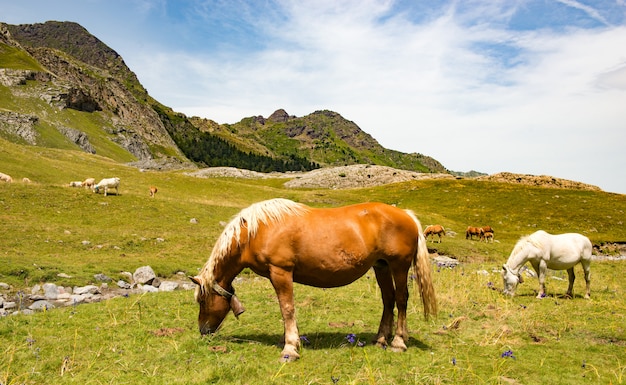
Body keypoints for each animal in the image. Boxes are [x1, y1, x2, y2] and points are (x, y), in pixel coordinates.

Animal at [188, 198, 436, 360]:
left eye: (201, 300)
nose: (203, 331)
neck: (255, 232)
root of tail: (406, 214)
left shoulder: (280, 272)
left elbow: (287, 308)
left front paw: (290, 347)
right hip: (381, 267)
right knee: (388, 299)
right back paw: (381, 339)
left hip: (399, 266)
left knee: (401, 299)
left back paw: (398, 342)